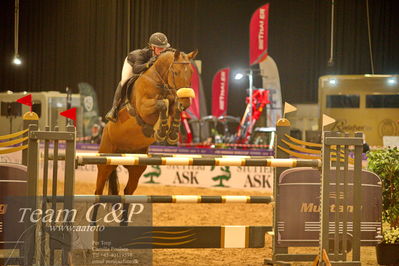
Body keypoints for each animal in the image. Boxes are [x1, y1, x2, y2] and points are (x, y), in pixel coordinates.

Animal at [95, 49, 198, 195]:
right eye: (175, 72)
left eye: (191, 73)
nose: (186, 103)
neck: (159, 80)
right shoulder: (144, 108)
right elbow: (162, 104)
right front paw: (161, 132)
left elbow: (174, 107)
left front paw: (172, 135)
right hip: (105, 162)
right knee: (98, 189)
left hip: (137, 166)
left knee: (128, 190)